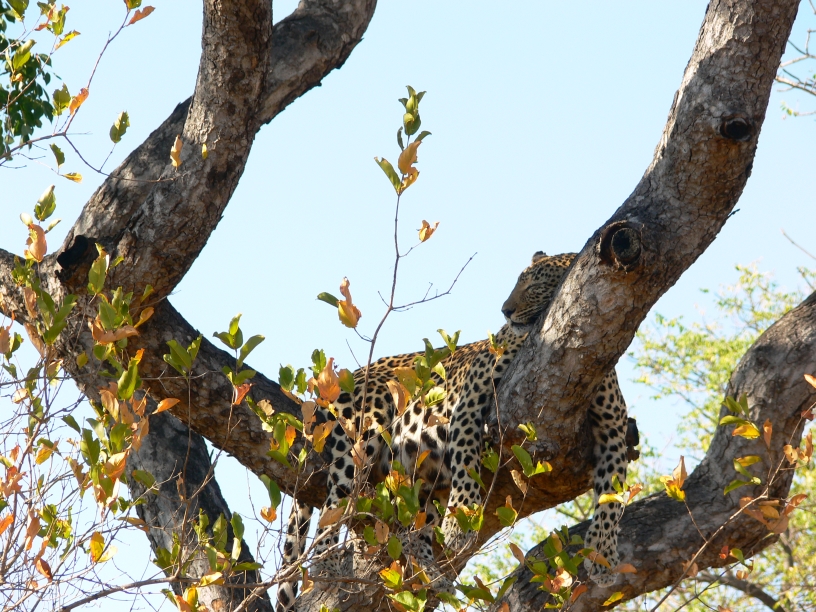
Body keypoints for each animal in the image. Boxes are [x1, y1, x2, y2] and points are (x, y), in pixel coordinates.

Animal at [275, 251, 631, 612]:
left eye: (535, 286)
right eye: (518, 283)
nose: (506, 311)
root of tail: (341, 381)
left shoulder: (614, 428)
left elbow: (613, 496)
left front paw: (602, 555)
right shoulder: (471, 395)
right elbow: (466, 459)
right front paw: (461, 522)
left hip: (419, 478)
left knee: (413, 531)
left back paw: (432, 577)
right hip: (363, 429)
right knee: (333, 507)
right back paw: (329, 568)